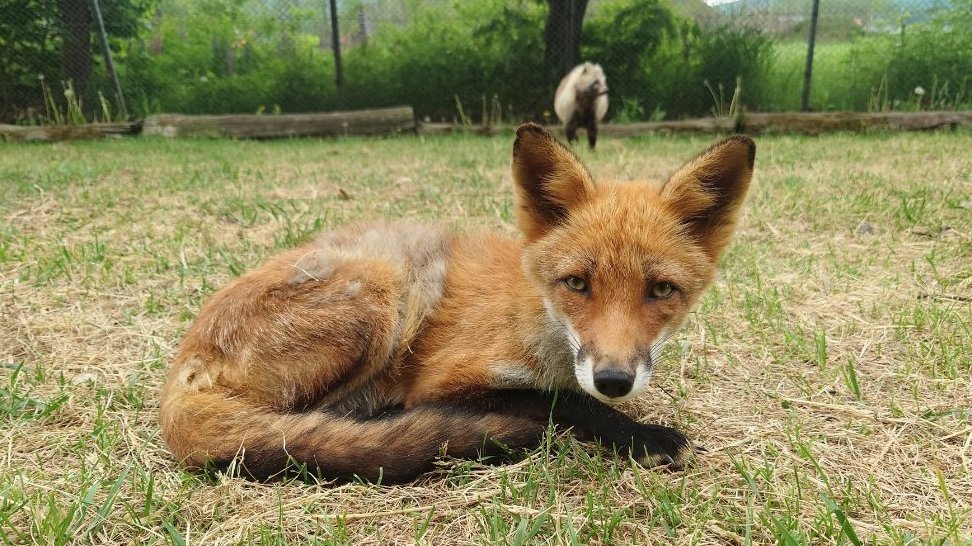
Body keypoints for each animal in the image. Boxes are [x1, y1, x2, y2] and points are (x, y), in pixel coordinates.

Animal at [159, 123, 756, 480]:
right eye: (577, 283)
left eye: (661, 291)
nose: (614, 380)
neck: (539, 322)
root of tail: (181, 368)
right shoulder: (443, 379)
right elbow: (556, 401)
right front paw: (641, 435)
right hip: (385, 294)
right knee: (315, 425)